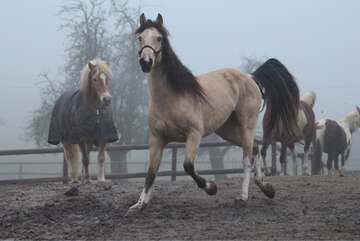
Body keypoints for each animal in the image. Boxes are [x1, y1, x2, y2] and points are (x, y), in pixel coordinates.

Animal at [125, 12, 300, 215]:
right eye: (140, 38)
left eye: (159, 38)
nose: (146, 62)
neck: (172, 98)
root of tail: (251, 78)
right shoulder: (157, 139)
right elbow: (151, 173)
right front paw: (139, 204)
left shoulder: (194, 134)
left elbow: (188, 166)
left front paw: (211, 187)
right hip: (227, 130)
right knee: (256, 147)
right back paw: (266, 188)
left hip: (246, 125)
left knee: (247, 158)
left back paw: (242, 197)